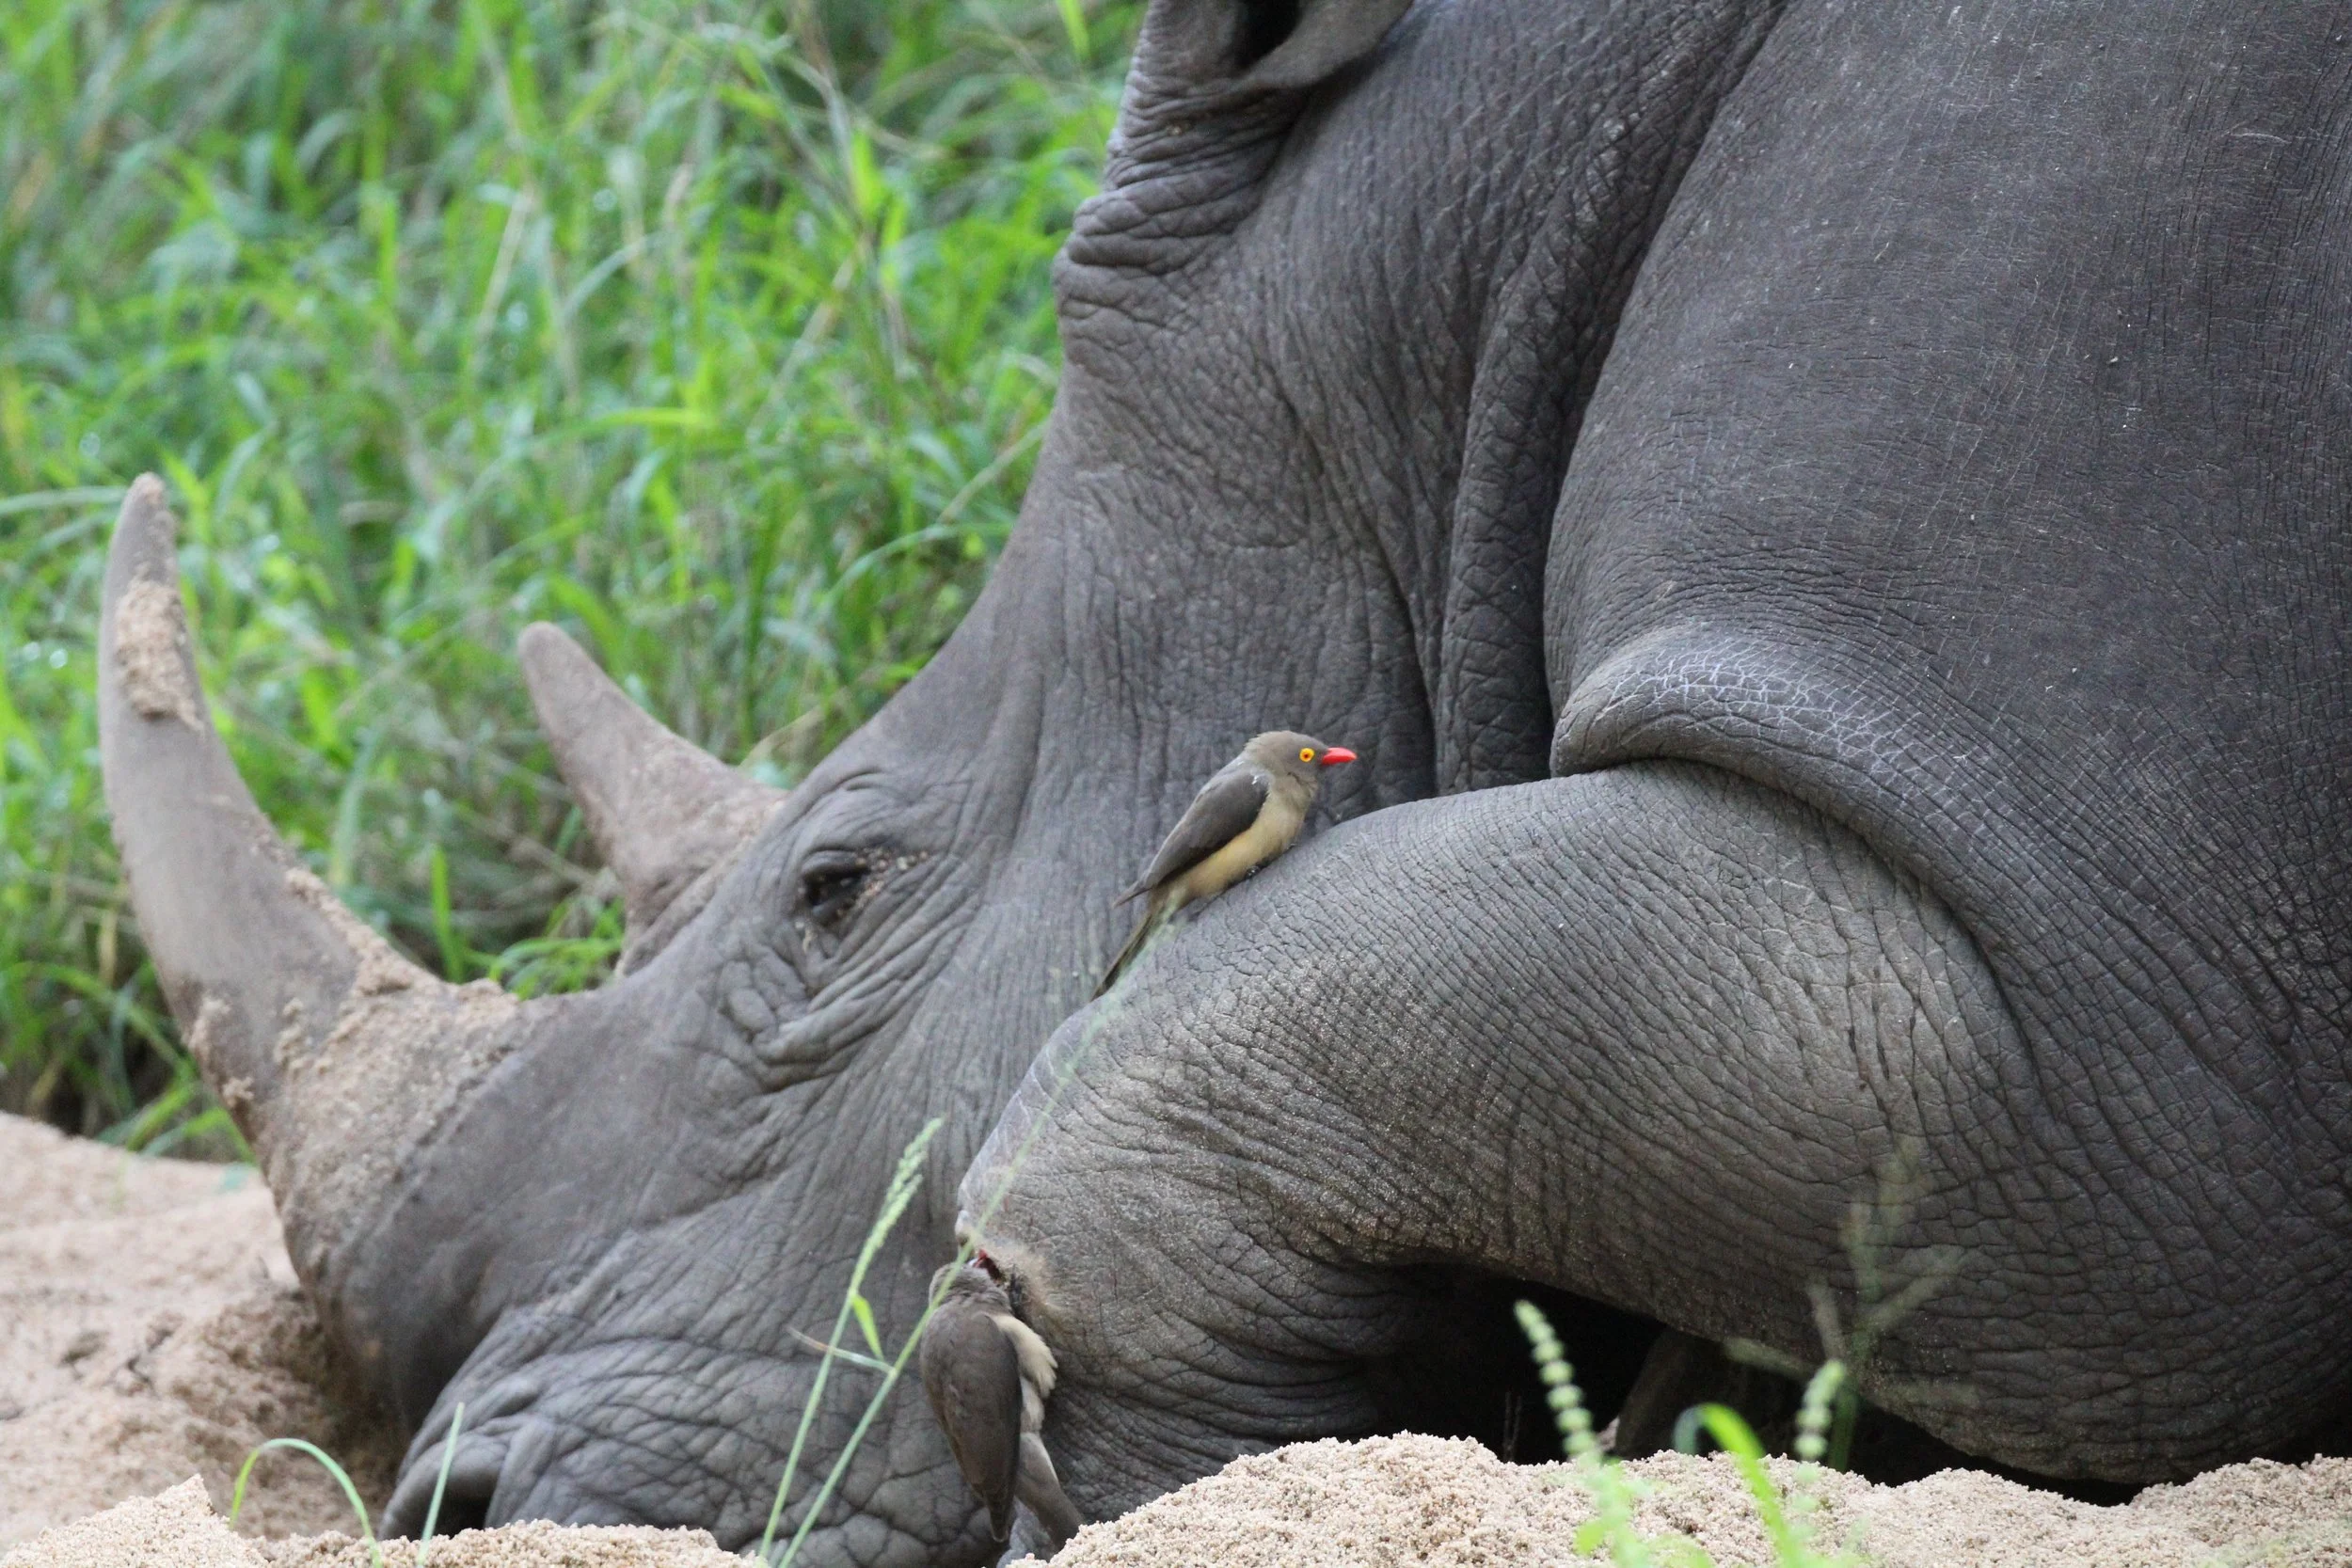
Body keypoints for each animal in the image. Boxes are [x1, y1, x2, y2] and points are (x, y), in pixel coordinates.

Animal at [97, 0, 2351, 1562]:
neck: (1454, 280)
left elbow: (1307, 982)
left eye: (833, 889)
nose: (458, 1510)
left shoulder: (2063, 953)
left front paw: (1085, 1438)